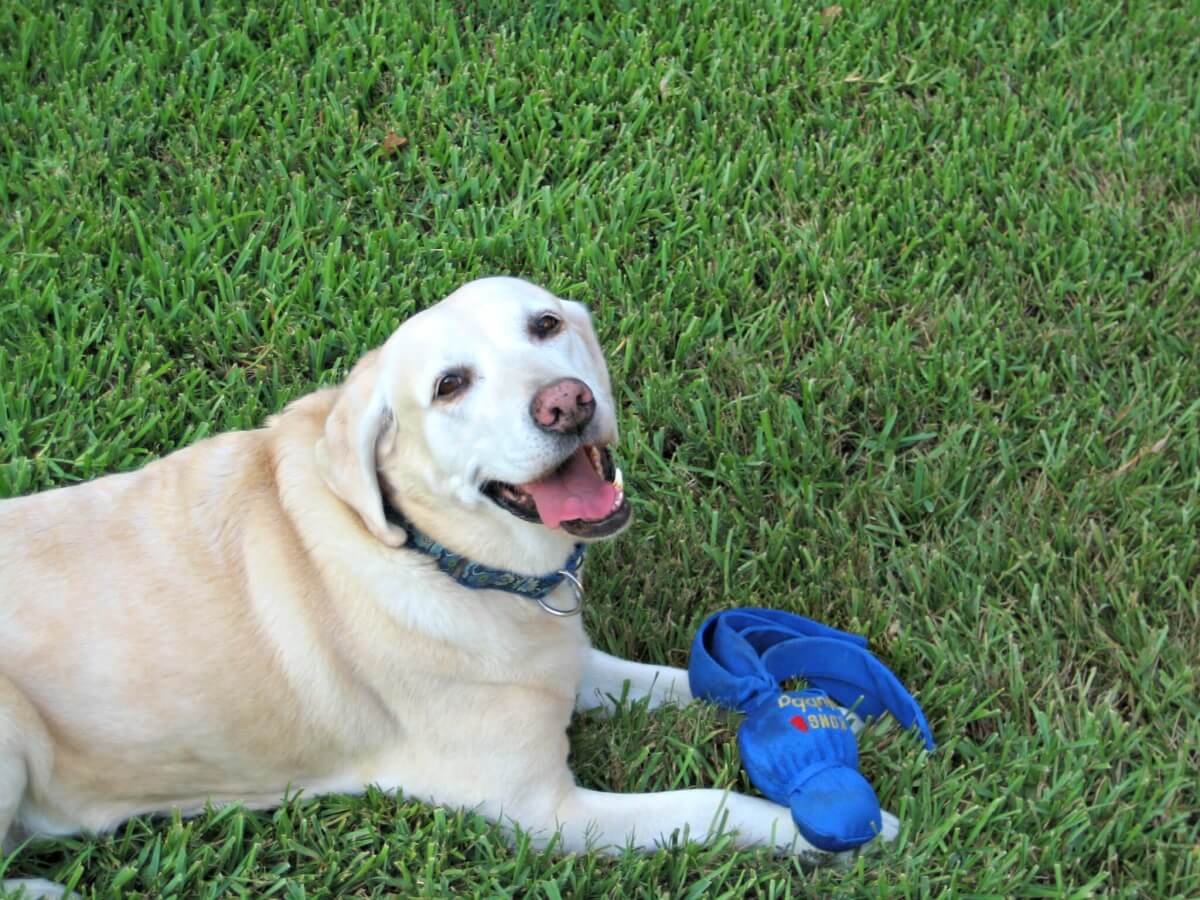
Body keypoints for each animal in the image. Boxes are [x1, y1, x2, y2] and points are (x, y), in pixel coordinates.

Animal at [1, 277, 896, 896]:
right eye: (449, 385)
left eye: (546, 325)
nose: (568, 404)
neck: (443, 557)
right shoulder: (545, 814)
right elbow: (705, 804)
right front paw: (838, 830)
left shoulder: (563, 664)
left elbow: (691, 683)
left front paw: (831, 705)